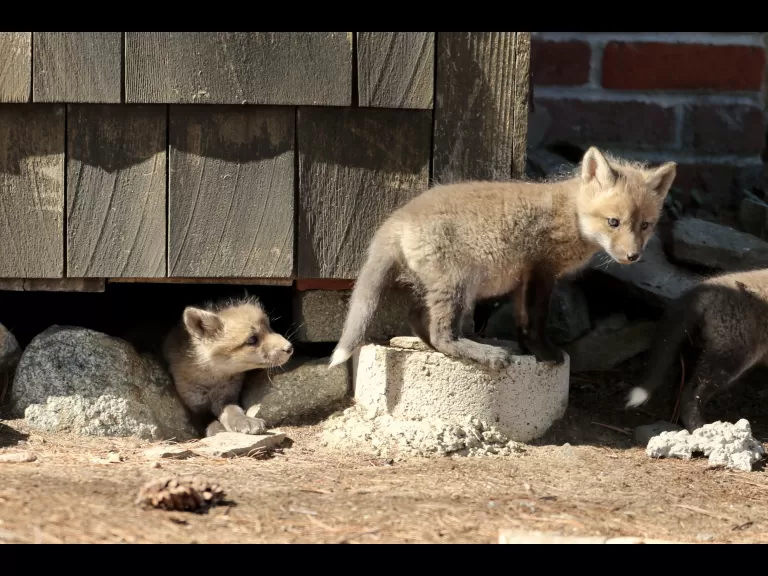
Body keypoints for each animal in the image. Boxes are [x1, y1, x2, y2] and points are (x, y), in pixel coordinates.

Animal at [162, 295, 294, 437]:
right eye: (252, 339)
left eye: (270, 328)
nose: (290, 347)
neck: (212, 381)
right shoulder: (195, 408)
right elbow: (208, 421)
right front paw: (216, 429)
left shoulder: (227, 397)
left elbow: (234, 411)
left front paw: (244, 420)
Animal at [329, 146, 677, 371]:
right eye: (613, 222)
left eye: (645, 225)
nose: (632, 256)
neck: (571, 215)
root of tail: (397, 217)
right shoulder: (541, 271)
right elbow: (536, 321)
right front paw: (545, 353)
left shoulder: (524, 277)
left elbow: (522, 321)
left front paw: (527, 351)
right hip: (457, 284)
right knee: (442, 334)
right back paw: (483, 354)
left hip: (444, 286)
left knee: (417, 317)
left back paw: (442, 346)